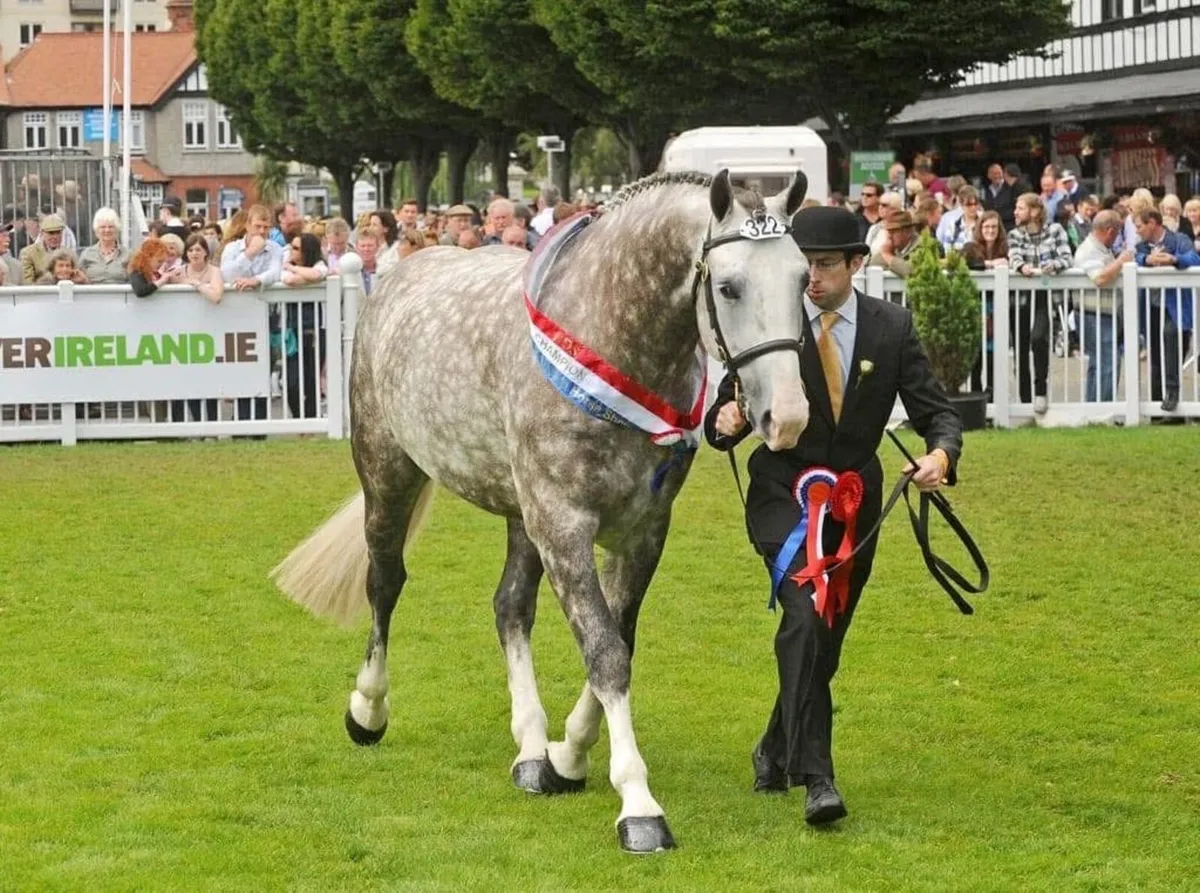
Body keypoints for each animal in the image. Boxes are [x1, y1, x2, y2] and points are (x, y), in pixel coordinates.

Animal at [272, 169, 811, 853]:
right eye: (729, 286)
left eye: (803, 278)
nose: (786, 416)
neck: (610, 338)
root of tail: (396, 273)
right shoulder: (563, 526)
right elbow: (604, 652)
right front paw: (638, 805)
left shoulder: (642, 532)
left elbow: (617, 641)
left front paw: (567, 756)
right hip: (388, 474)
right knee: (385, 582)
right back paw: (367, 709)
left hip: (517, 512)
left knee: (509, 607)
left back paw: (530, 748)